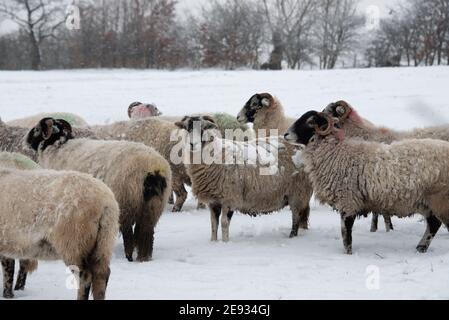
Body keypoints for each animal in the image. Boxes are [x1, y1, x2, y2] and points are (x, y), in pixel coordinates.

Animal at [25, 118, 172, 262]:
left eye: (37, 129)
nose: (25, 141)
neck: (56, 147)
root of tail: (153, 168)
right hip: (152, 207)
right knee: (146, 233)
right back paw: (144, 258)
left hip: (127, 202)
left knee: (128, 233)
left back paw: (129, 256)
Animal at [174, 115, 312, 240]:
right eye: (187, 128)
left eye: (203, 128)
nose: (192, 144)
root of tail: (300, 146)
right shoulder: (214, 201)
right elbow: (213, 224)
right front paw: (213, 242)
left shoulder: (230, 198)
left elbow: (224, 223)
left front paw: (225, 243)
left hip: (298, 192)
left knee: (296, 217)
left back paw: (292, 237)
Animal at [286, 110, 448, 255]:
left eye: (311, 121)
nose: (286, 134)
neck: (335, 153)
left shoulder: (348, 201)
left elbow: (346, 234)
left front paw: (348, 254)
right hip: (428, 202)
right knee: (434, 224)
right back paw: (421, 248)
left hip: (439, 199)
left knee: (437, 223)